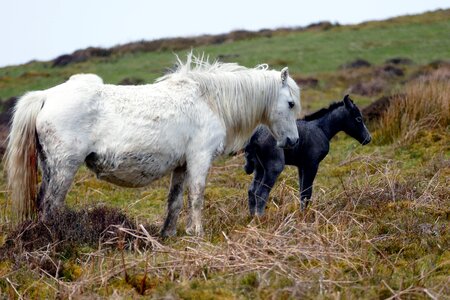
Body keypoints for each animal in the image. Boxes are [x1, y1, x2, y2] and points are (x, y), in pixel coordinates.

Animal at [5, 54, 300, 237]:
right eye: (290, 103)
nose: (294, 141)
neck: (208, 100)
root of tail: (46, 96)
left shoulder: (181, 165)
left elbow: (175, 201)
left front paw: (168, 233)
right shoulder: (199, 159)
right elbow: (197, 196)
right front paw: (197, 232)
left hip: (49, 167)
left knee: (43, 201)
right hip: (64, 168)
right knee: (51, 205)